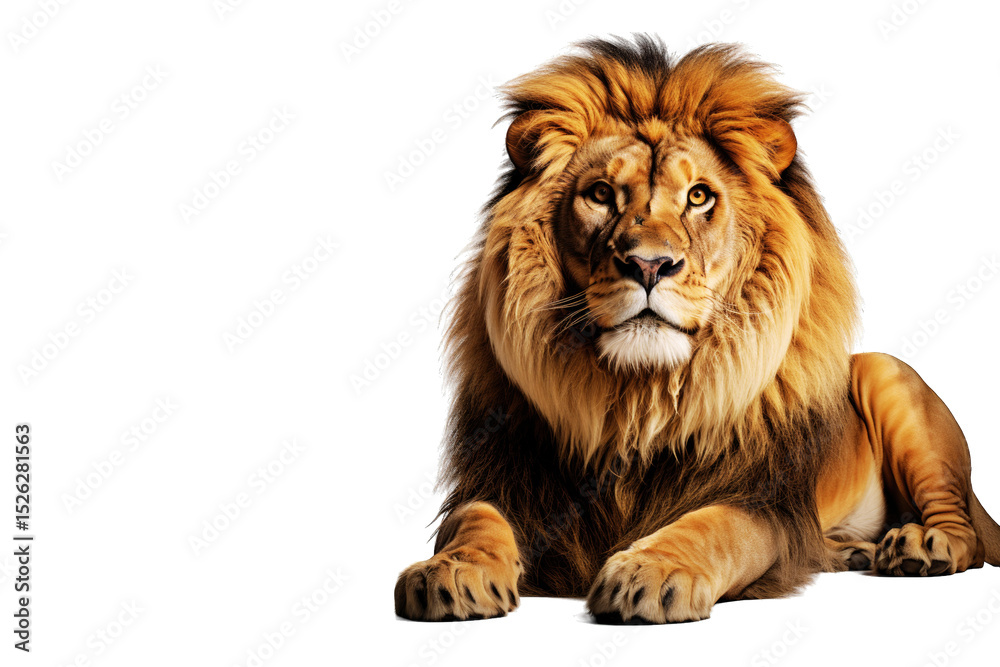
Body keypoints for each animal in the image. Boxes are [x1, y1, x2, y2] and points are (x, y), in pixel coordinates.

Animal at [393, 35, 1000, 623]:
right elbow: (474, 518)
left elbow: (715, 527)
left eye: (699, 196)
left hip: (887, 374)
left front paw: (653, 570)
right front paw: (452, 572)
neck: (637, 403)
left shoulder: (762, 501)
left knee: (964, 531)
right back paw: (852, 550)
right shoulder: (503, 476)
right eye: (600, 194)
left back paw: (922, 545)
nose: (648, 265)